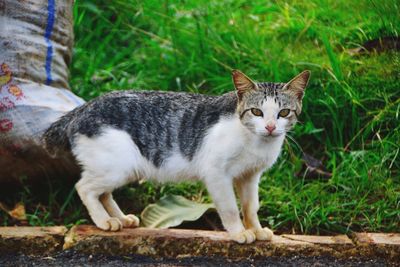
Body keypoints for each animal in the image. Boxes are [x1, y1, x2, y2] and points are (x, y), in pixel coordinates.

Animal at [42, 69, 310, 245]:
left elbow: (250, 206)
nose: (270, 127)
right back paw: (103, 221)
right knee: (84, 187)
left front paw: (257, 229)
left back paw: (120, 218)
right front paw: (238, 232)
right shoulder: (216, 174)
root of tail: (83, 108)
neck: (255, 141)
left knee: (103, 193)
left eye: (283, 113)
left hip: (119, 169)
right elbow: (230, 208)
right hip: (117, 167)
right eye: (256, 111)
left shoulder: (250, 176)